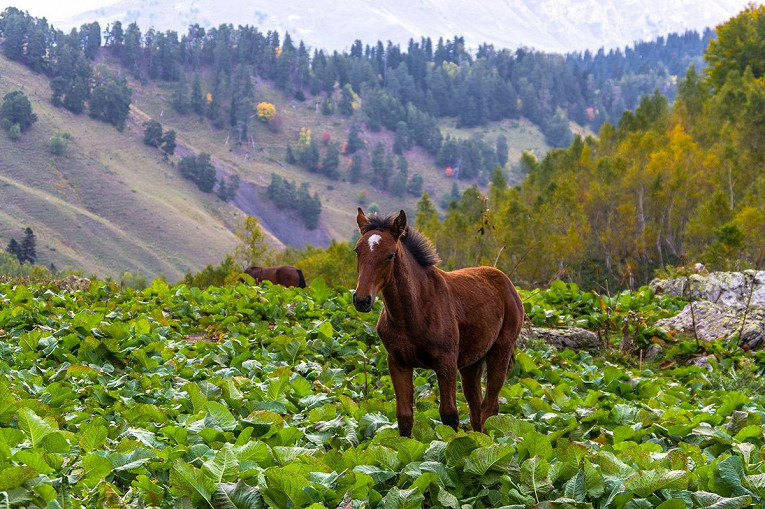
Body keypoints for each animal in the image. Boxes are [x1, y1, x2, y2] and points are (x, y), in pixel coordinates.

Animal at [354, 208, 524, 434]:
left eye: (390, 255)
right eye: (357, 251)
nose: (361, 300)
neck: (412, 314)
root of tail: (508, 284)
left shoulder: (446, 363)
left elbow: (449, 415)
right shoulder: (398, 363)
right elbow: (404, 416)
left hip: (500, 351)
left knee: (490, 406)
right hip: (472, 363)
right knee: (476, 409)